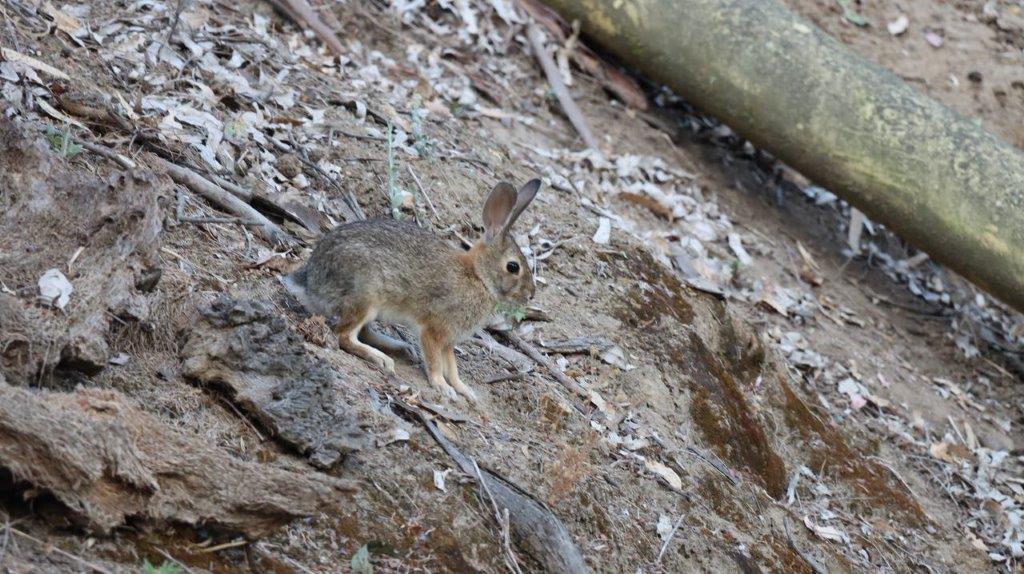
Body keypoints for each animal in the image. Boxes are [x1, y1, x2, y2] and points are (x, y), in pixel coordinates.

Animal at [278, 177, 536, 401]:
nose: (531, 294)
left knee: (361, 332)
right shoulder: (434, 329)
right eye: (513, 267)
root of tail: (310, 283)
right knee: (343, 335)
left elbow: (452, 368)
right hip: (365, 296)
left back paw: (399, 348)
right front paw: (442, 387)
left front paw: (464, 390)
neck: (478, 277)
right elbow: (435, 362)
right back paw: (381, 359)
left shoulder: (448, 340)